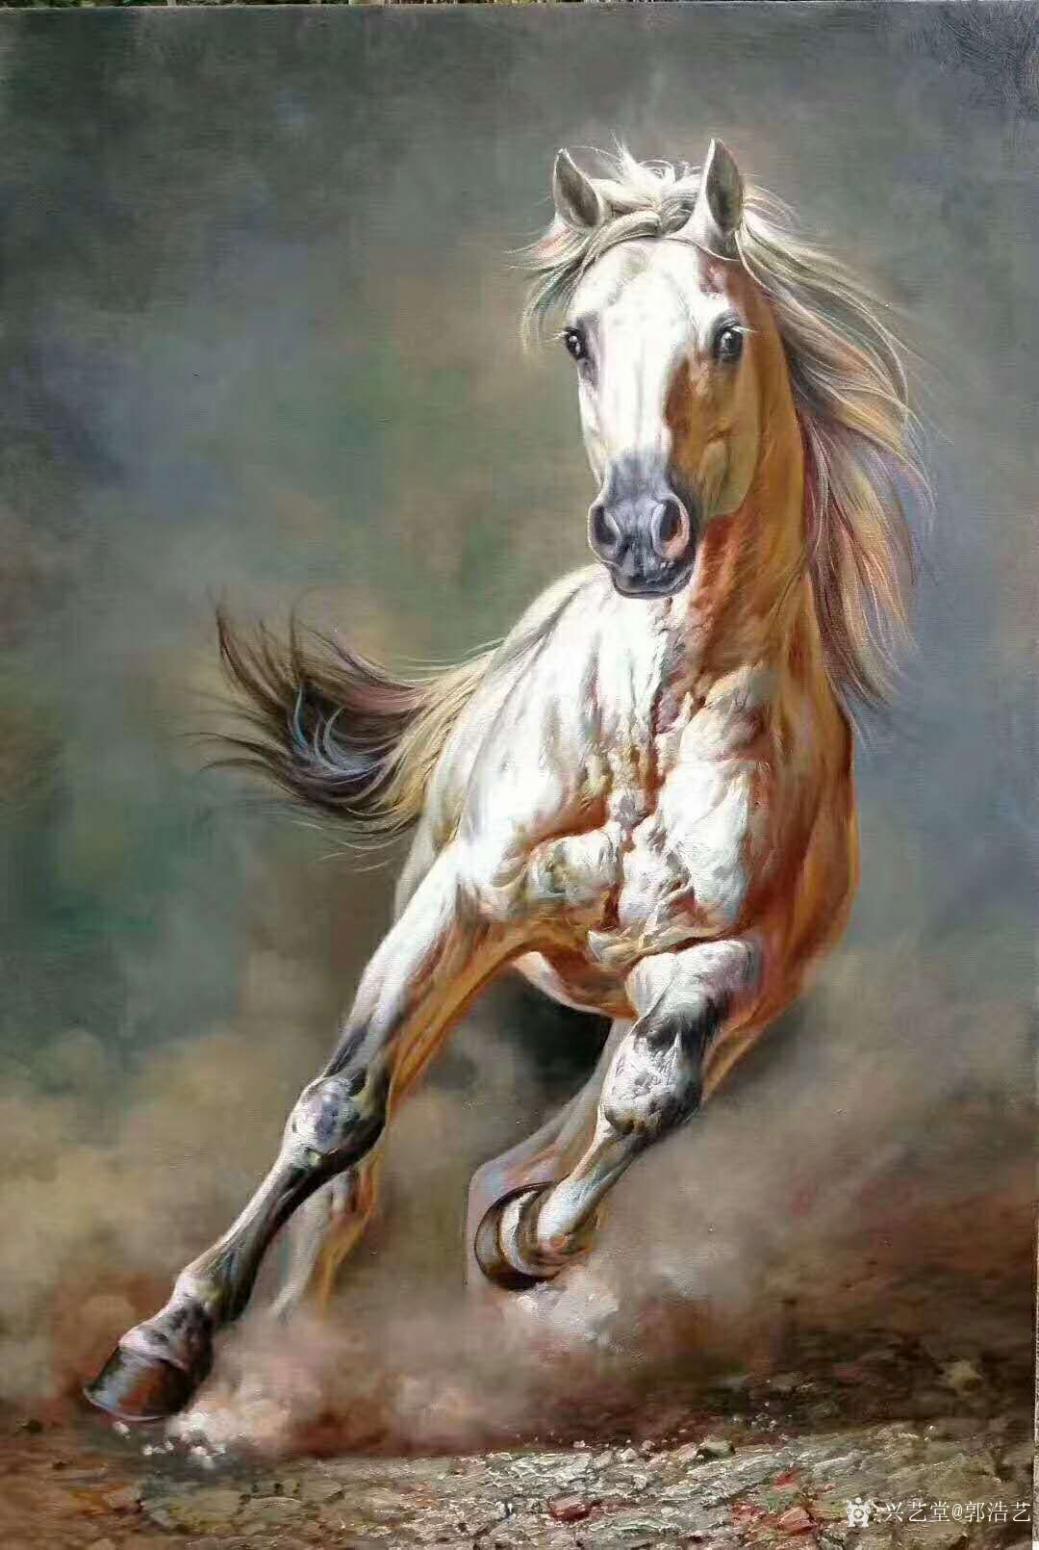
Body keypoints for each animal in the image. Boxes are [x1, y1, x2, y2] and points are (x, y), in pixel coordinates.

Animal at [86, 139, 919, 1422]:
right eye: (580, 337)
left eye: (726, 334)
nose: (641, 534)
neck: (650, 728)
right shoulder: (463, 902)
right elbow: (336, 1116)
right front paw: (160, 1347)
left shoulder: (723, 964)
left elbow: (637, 1112)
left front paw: (524, 1239)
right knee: (355, 1182)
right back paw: (288, 1346)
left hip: (692, 1006)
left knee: (576, 1123)